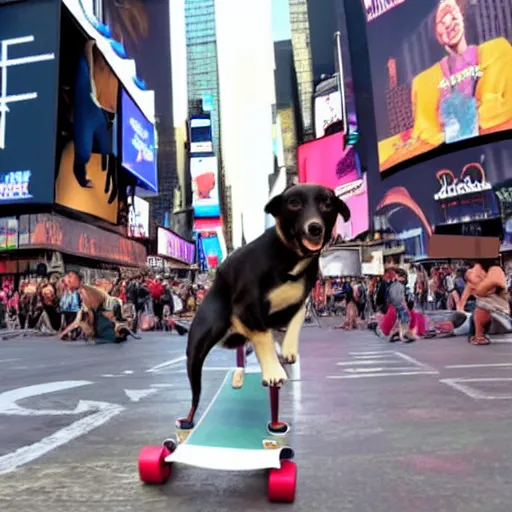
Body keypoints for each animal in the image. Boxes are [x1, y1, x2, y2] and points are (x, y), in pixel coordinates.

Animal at [176, 184, 348, 428]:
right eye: (294, 203)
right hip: (197, 350)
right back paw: (189, 419)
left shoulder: (300, 302)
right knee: (195, 396)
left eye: (327, 204)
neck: (289, 258)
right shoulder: (246, 308)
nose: (315, 227)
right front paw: (273, 370)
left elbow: (294, 323)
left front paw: (288, 349)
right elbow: (263, 337)